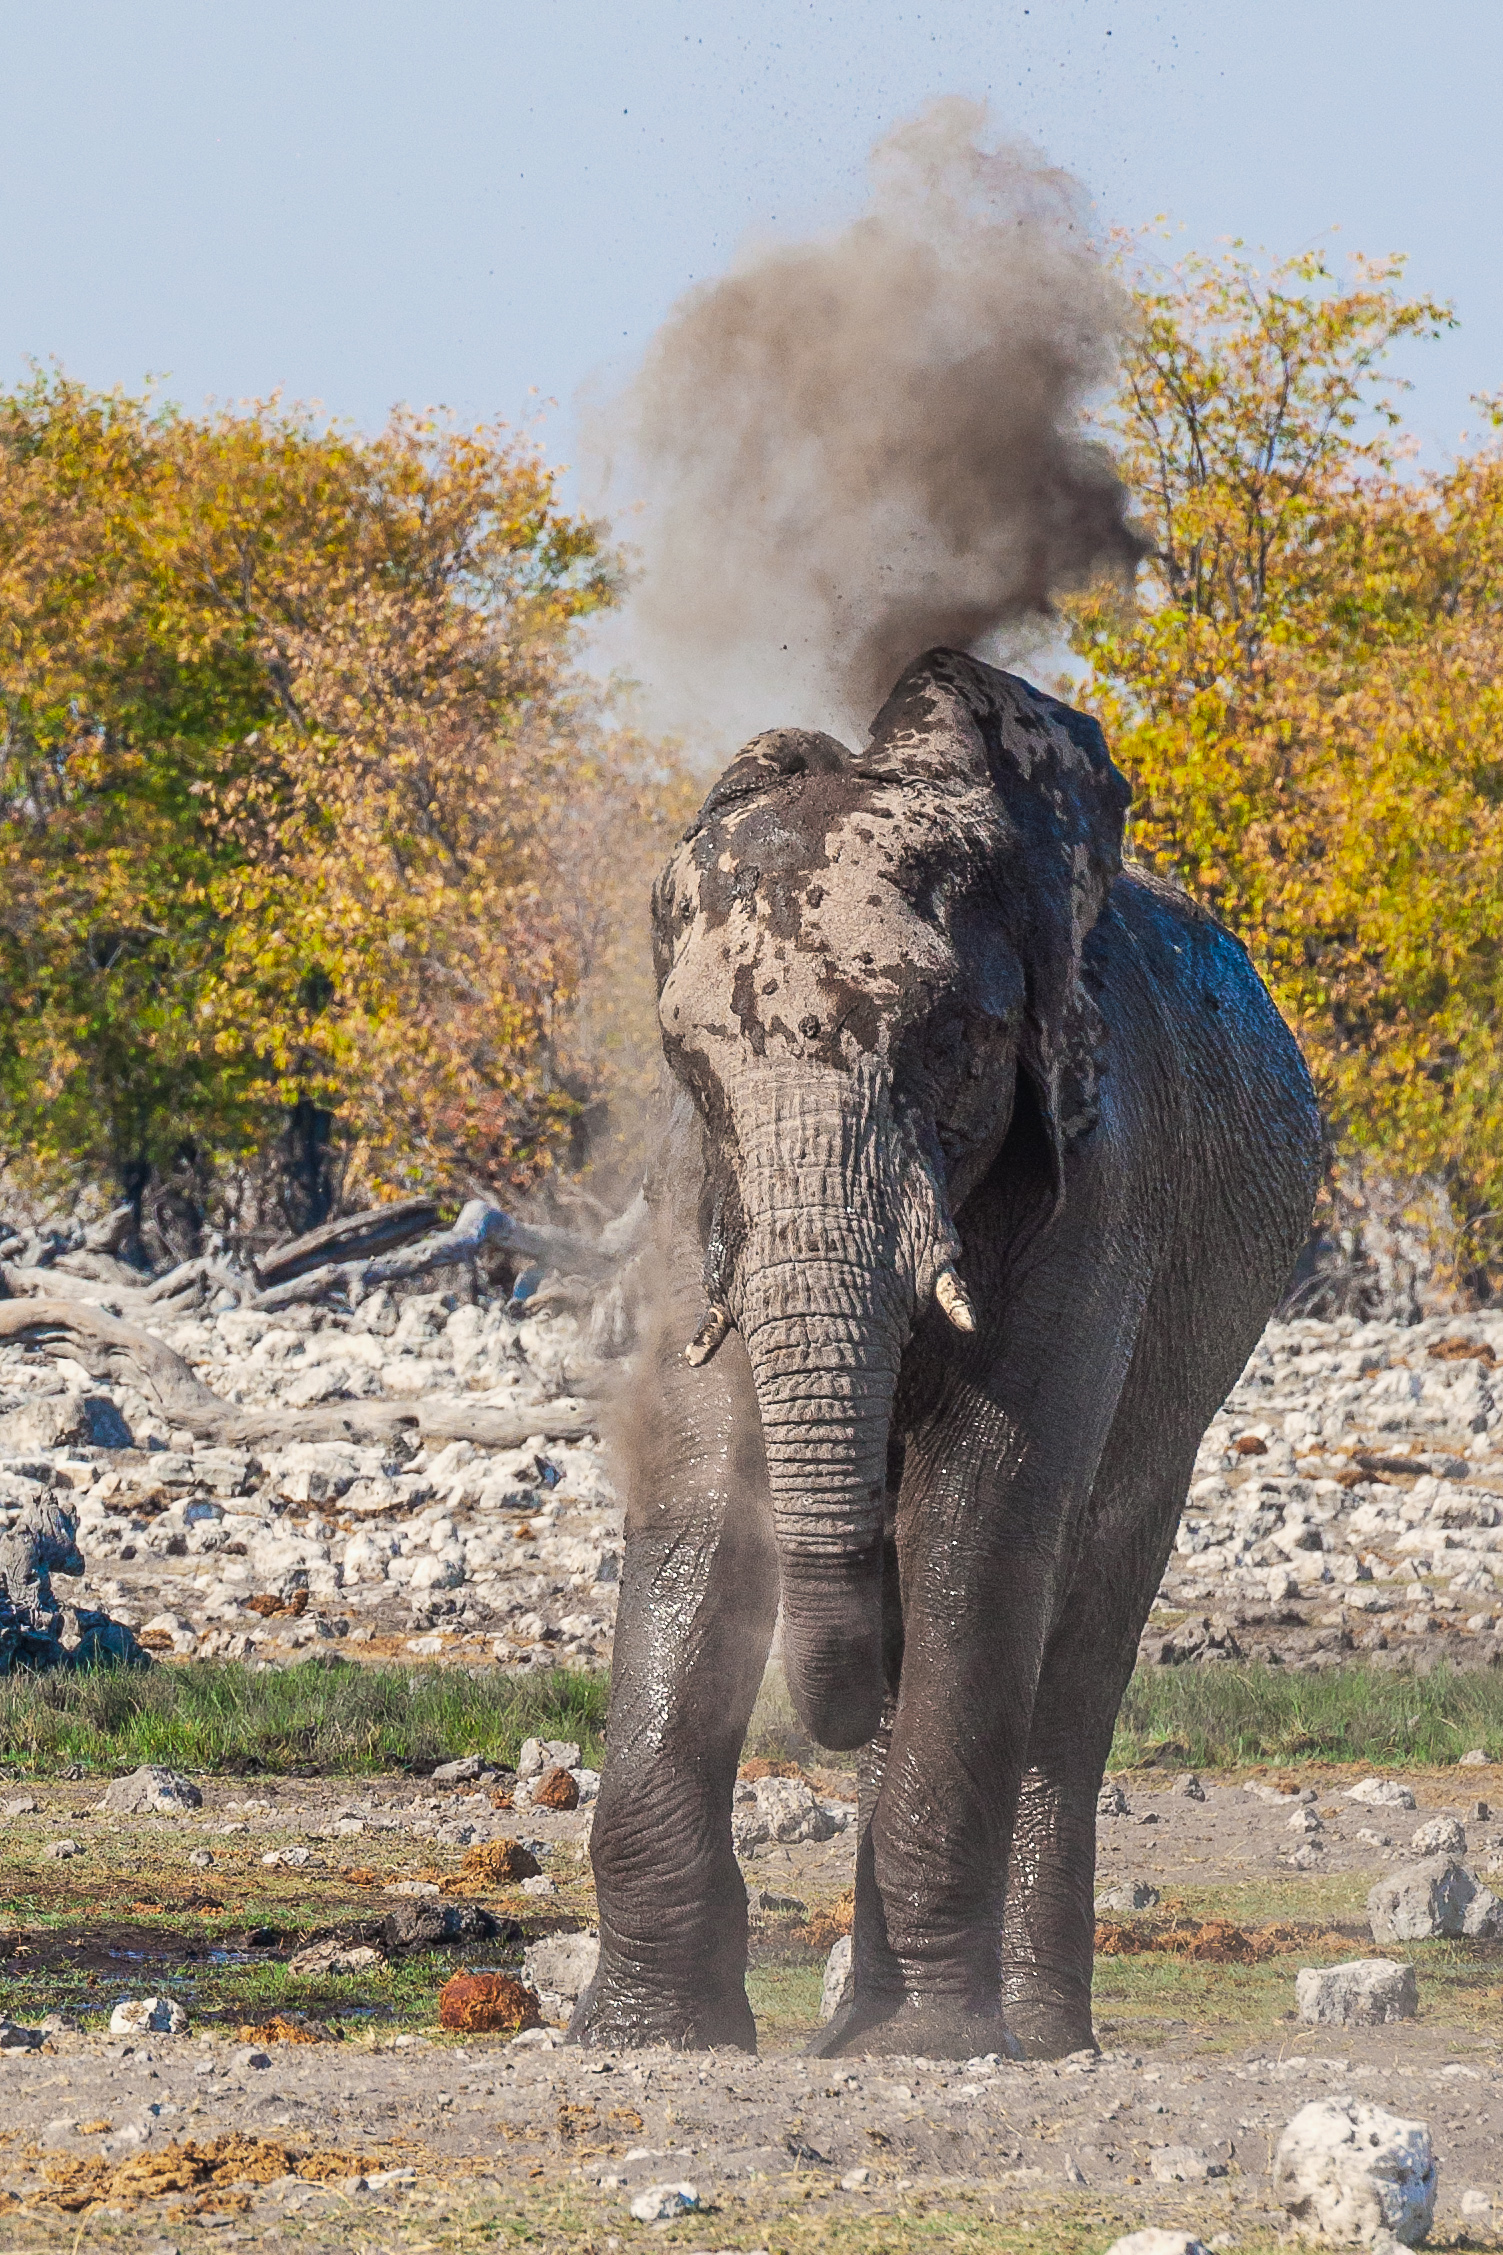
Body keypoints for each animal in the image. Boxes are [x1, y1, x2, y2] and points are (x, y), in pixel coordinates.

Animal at [571, 646, 1321, 2061]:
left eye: (944, 1041)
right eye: (691, 1061)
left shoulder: (1102, 1183)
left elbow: (983, 1508)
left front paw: (920, 2045)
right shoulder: (694, 1191)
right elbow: (700, 1500)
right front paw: (648, 2037)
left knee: (1076, 1634)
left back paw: (1033, 2034)